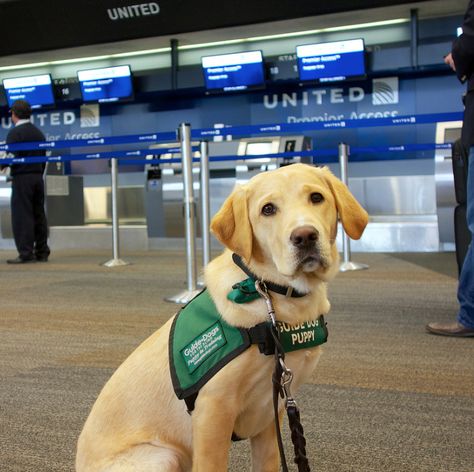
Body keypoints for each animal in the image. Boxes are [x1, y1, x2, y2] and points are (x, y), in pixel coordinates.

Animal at [76, 163, 368, 472]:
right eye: (268, 209)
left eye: (316, 197)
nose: (304, 236)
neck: (271, 294)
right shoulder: (213, 410)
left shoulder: (271, 411)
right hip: (163, 455)